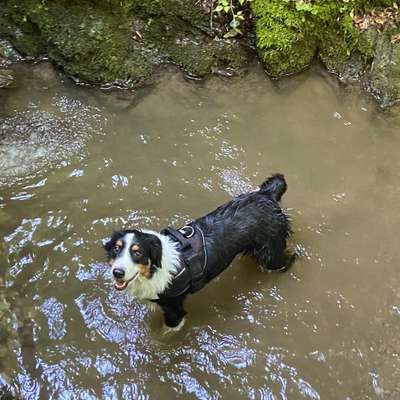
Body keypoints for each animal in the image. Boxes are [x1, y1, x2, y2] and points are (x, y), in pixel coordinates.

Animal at [104, 174, 294, 332]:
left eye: (137, 253)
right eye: (116, 249)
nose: (117, 273)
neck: (154, 270)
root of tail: (266, 194)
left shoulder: (175, 311)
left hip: (271, 255)